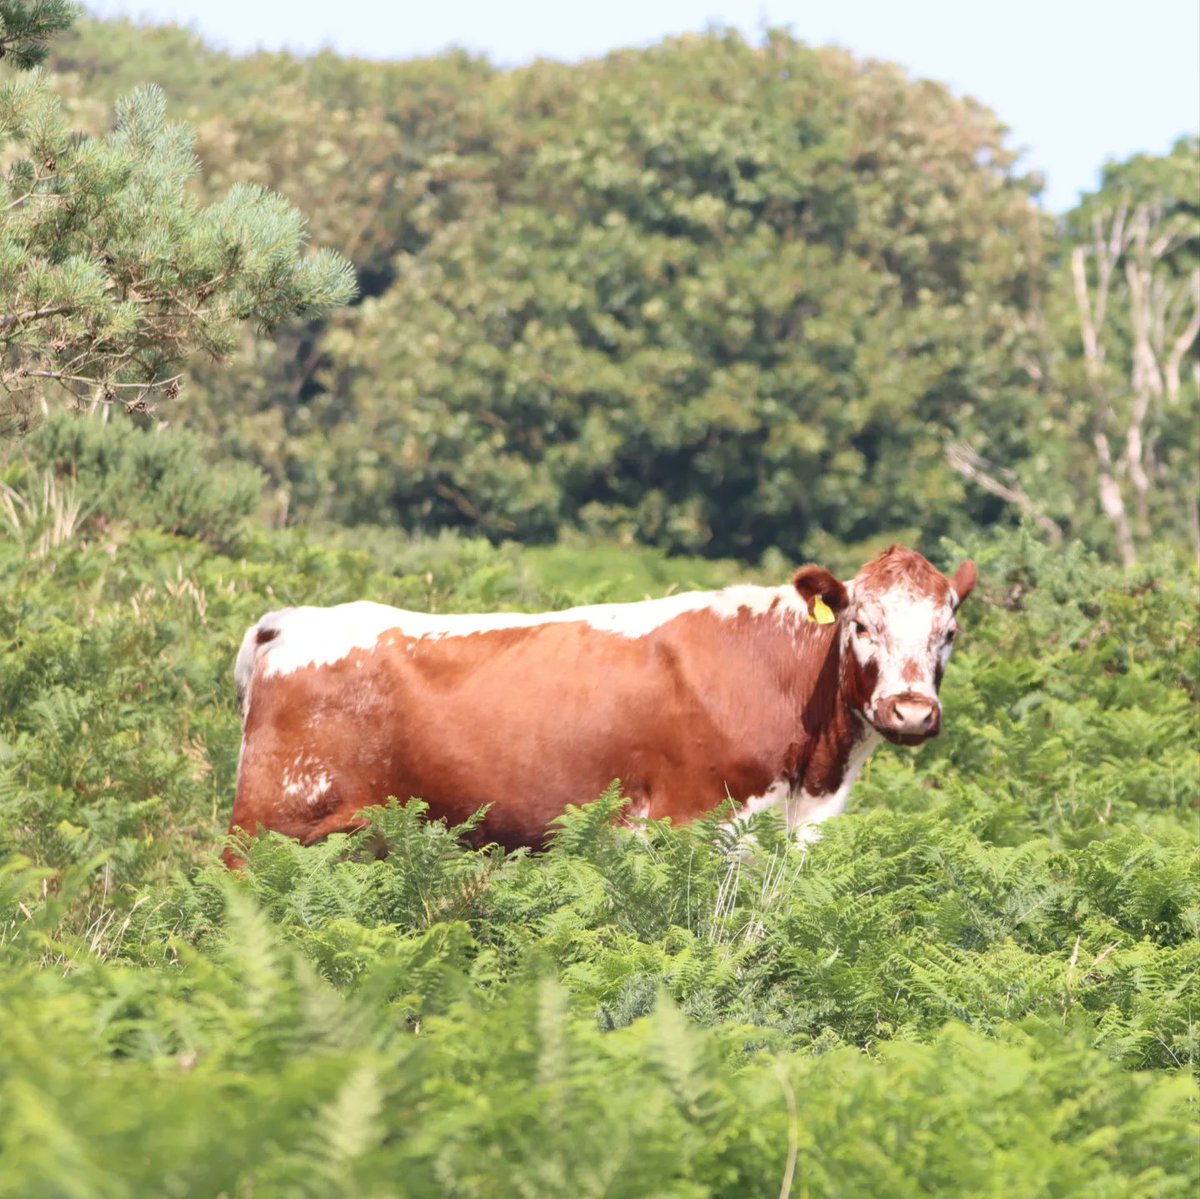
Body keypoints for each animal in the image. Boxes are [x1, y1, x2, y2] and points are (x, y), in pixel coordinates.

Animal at [224, 546, 976, 866]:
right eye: (861, 624)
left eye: (949, 631)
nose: (911, 711)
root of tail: (290, 621)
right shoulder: (694, 821)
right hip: (263, 827)